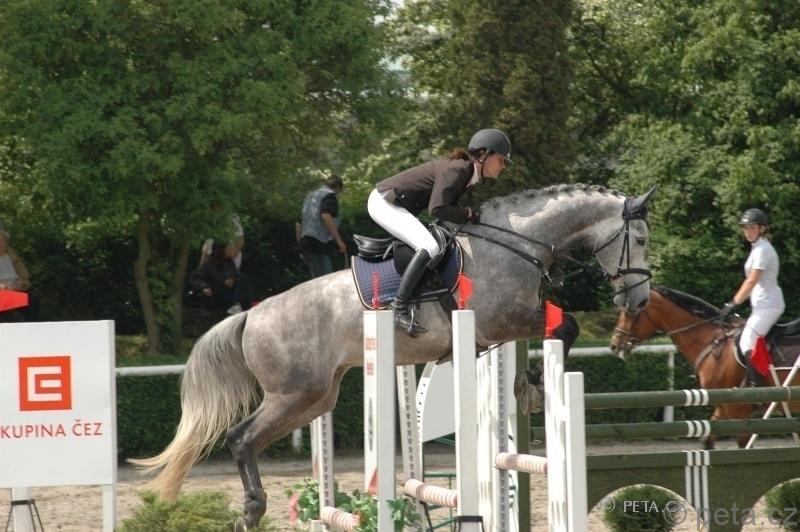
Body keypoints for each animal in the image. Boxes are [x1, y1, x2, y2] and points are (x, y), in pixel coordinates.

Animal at [132, 184, 655, 530]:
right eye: (643, 239)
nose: (639, 300)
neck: (516, 242)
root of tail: (251, 316)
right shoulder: (502, 319)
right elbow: (565, 326)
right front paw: (531, 387)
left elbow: (559, 328)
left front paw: (528, 384)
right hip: (292, 394)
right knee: (240, 439)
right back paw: (252, 509)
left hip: (316, 397)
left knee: (253, 439)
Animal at [610, 285, 798, 449]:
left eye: (629, 312)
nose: (615, 345)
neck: (710, 340)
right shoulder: (722, 405)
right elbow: (707, 440)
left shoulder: (738, 409)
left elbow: (744, 446)